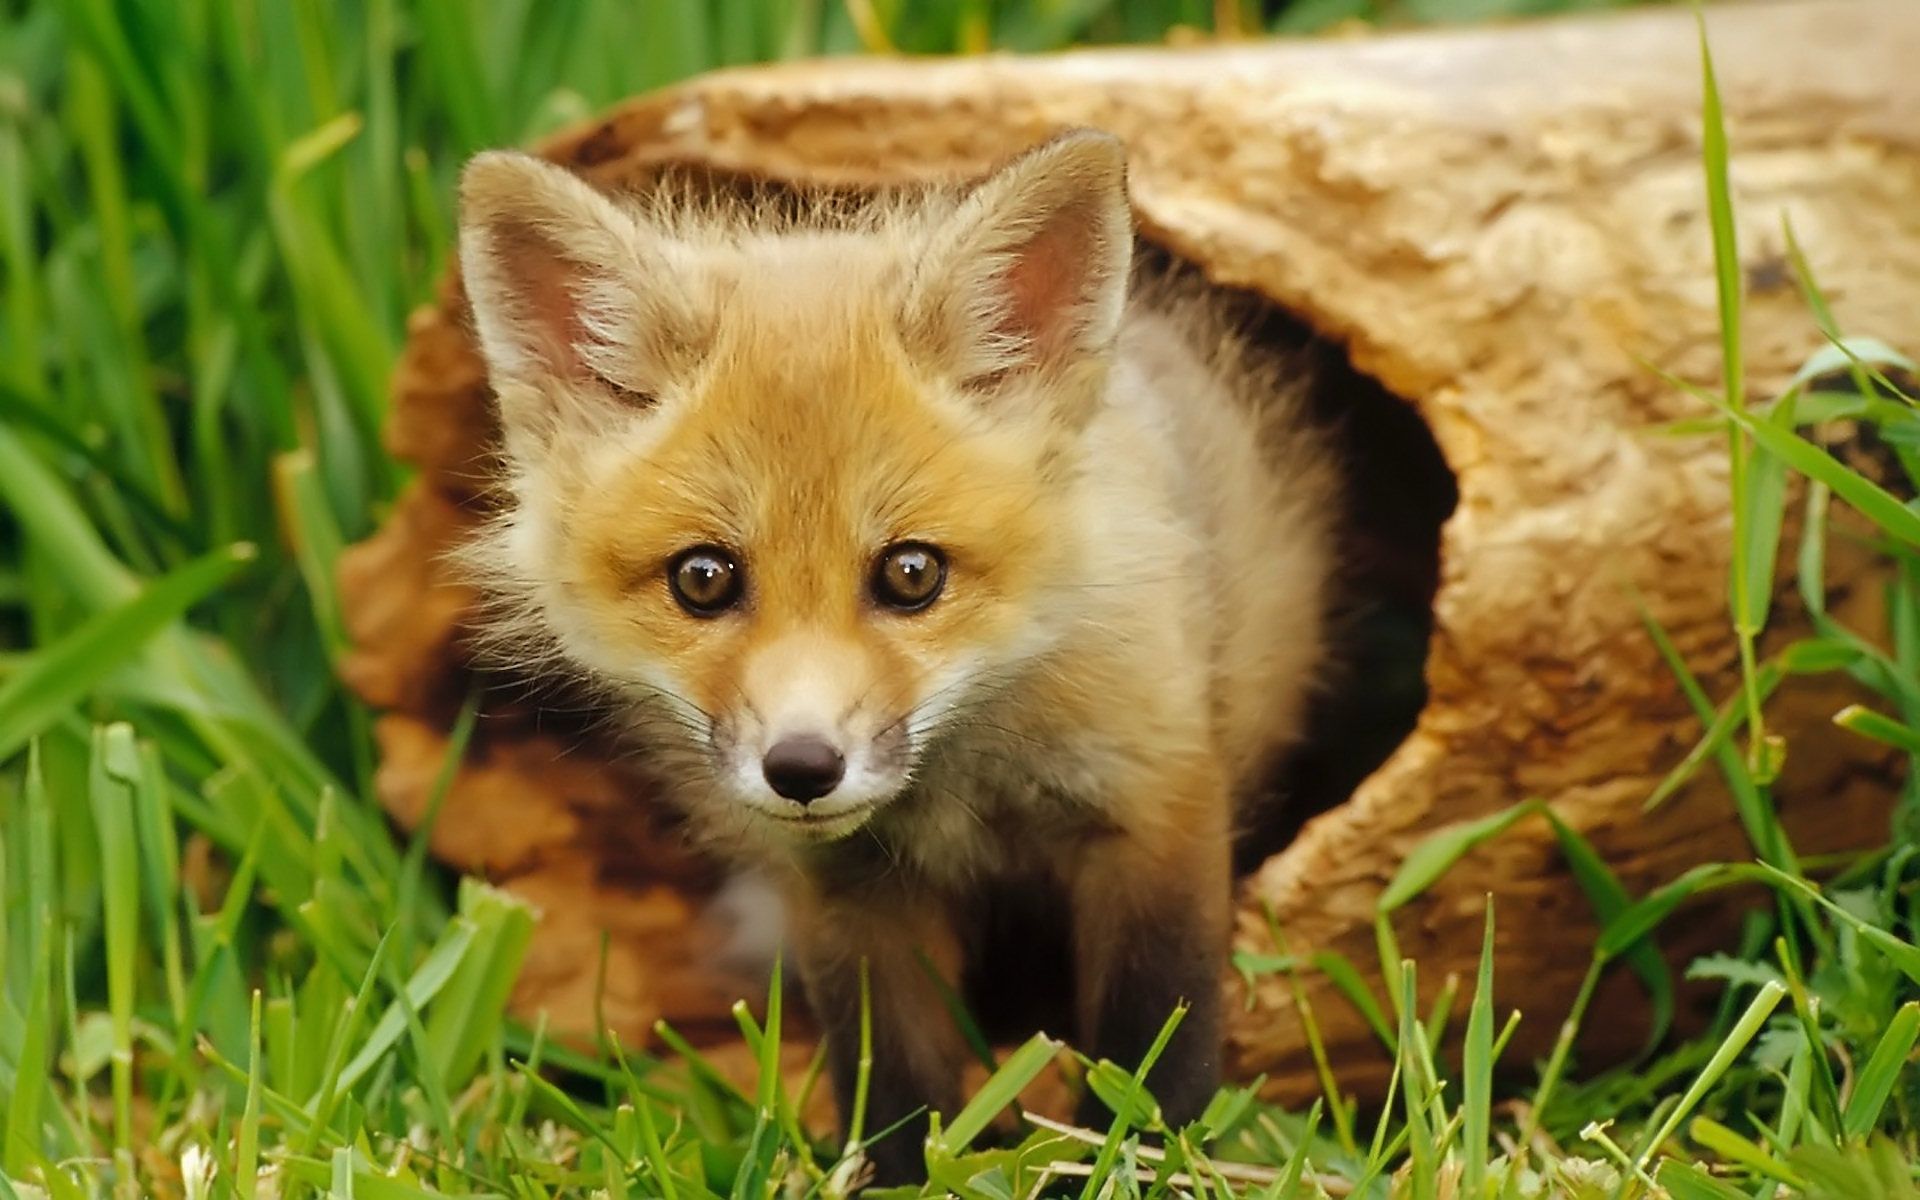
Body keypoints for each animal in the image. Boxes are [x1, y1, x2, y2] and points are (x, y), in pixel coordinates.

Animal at [454, 130, 1336, 1184]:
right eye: (704, 579)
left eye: (912, 574)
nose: (801, 768)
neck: (964, 785)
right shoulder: (850, 892)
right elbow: (897, 1082)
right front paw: (901, 1173)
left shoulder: (1154, 804)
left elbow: (1152, 1046)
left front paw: (1137, 1160)